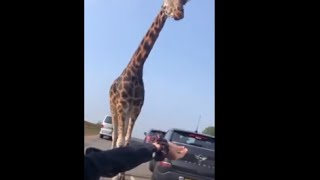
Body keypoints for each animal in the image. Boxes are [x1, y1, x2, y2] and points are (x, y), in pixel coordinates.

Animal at [109, 0, 189, 179]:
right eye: (165, 4)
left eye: (182, 3)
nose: (179, 14)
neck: (136, 70)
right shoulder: (122, 106)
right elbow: (120, 140)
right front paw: (117, 175)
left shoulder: (136, 110)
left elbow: (127, 141)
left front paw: (122, 174)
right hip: (114, 109)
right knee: (115, 135)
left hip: (126, 113)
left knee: (121, 136)